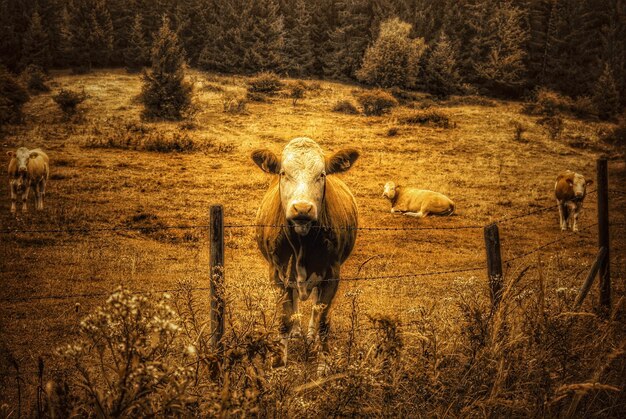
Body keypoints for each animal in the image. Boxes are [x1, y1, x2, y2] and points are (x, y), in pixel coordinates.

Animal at [249, 138, 356, 370]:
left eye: (322, 175)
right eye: (283, 173)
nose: (302, 208)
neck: (302, 241)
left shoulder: (332, 274)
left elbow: (322, 318)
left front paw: (323, 361)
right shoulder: (277, 272)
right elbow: (284, 317)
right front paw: (279, 359)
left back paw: (309, 334)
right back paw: (297, 331)